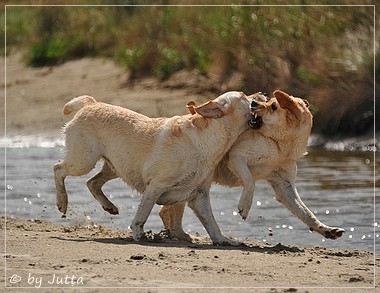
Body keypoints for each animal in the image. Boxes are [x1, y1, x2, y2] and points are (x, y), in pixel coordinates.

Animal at [53, 90, 254, 244]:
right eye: (244, 96)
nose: (259, 95)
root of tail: (90, 103)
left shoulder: (200, 196)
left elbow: (212, 223)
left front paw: (223, 240)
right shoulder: (156, 186)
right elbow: (143, 214)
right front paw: (138, 233)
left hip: (114, 167)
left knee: (92, 182)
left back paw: (109, 207)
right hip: (84, 161)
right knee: (58, 168)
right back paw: (62, 203)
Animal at [159, 90, 346, 241]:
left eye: (273, 106)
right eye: (271, 102)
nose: (254, 102)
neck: (280, 145)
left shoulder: (284, 185)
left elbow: (306, 213)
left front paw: (327, 230)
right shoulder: (237, 157)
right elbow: (250, 181)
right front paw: (244, 207)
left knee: (166, 210)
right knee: (167, 210)